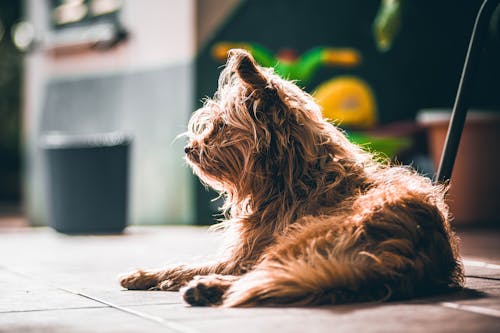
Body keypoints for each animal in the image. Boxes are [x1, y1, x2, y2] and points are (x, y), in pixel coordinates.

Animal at [119, 48, 462, 306]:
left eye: (221, 126)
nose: (189, 148)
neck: (297, 177)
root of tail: (406, 257)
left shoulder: (241, 257)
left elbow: (189, 264)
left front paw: (146, 275)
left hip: (301, 236)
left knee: (259, 276)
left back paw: (208, 288)